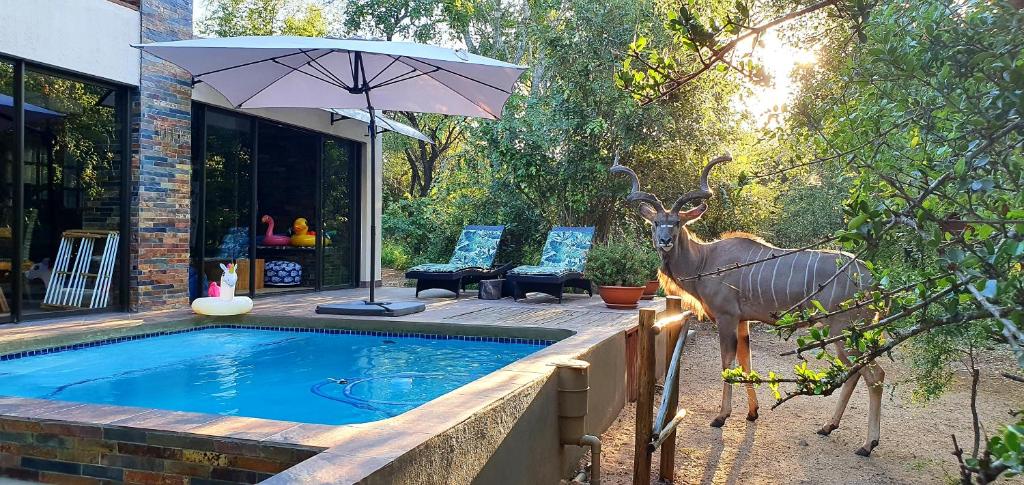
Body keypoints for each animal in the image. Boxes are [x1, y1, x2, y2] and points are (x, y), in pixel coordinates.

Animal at [612, 154, 885, 456]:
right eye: (656, 222)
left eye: (677, 222)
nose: (665, 241)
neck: (704, 261)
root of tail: (874, 279)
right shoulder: (743, 322)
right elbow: (746, 363)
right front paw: (752, 413)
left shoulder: (726, 318)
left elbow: (727, 364)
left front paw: (721, 417)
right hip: (848, 334)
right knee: (857, 372)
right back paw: (828, 426)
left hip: (844, 330)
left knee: (875, 374)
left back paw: (868, 444)